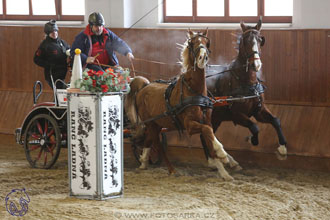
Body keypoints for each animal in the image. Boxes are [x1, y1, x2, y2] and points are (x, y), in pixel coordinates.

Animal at [124, 28, 240, 180]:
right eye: (192, 43)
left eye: (207, 43)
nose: (202, 58)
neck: (193, 91)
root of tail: (144, 86)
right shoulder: (189, 125)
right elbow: (207, 132)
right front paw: (223, 154)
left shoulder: (207, 121)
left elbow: (209, 139)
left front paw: (224, 171)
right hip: (151, 123)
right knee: (157, 143)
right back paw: (171, 169)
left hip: (156, 123)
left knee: (149, 140)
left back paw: (144, 162)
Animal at [201, 19, 286, 165]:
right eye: (245, 41)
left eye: (260, 40)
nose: (256, 65)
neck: (247, 83)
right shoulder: (237, 115)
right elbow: (255, 127)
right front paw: (252, 139)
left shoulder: (259, 111)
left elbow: (275, 121)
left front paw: (282, 148)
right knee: (205, 134)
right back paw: (214, 160)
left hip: (216, 118)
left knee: (208, 134)